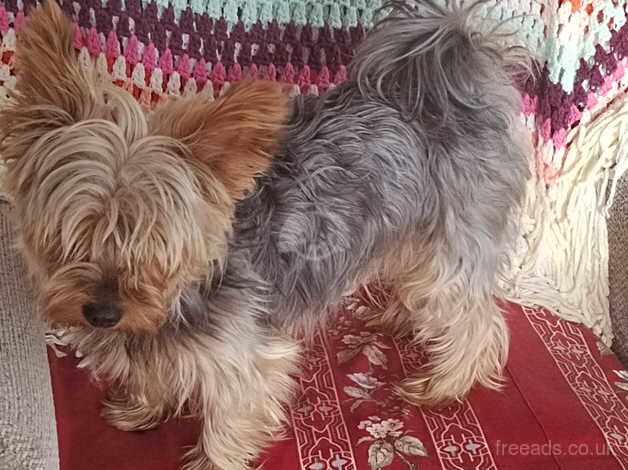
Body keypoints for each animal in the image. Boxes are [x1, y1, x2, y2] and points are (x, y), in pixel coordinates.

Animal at [0, 1, 528, 468]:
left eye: (160, 247)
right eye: (68, 236)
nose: (103, 314)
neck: (180, 298)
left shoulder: (250, 360)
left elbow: (229, 422)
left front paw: (210, 462)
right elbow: (154, 374)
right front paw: (140, 408)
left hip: (452, 242)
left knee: (474, 317)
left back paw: (444, 384)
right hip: (403, 233)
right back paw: (396, 317)